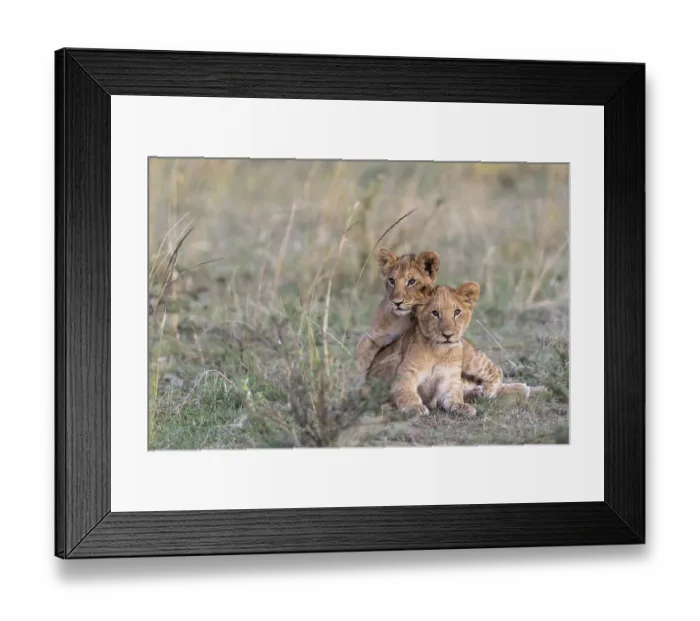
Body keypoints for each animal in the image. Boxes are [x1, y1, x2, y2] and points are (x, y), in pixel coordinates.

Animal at [354, 247, 440, 383]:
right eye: (392, 281)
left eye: (411, 281)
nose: (397, 302)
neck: (403, 319)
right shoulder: (374, 336)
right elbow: (362, 360)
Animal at [367, 282, 536, 417]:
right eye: (435, 313)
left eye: (457, 312)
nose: (448, 335)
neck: (439, 352)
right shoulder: (406, 374)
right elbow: (405, 391)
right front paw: (414, 407)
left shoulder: (449, 380)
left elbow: (455, 395)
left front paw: (462, 407)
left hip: (470, 357)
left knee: (495, 371)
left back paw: (492, 392)